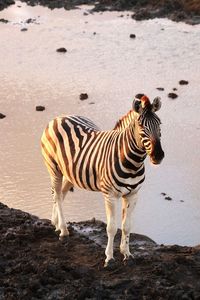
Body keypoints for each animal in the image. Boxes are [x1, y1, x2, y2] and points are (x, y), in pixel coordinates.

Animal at [40, 94, 164, 268]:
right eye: (141, 126)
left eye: (159, 124)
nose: (158, 156)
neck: (132, 162)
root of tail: (60, 117)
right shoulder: (110, 195)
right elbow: (111, 228)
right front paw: (109, 258)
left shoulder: (133, 194)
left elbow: (126, 226)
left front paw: (127, 254)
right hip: (54, 168)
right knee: (57, 195)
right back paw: (63, 230)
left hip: (70, 173)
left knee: (61, 195)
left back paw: (56, 223)